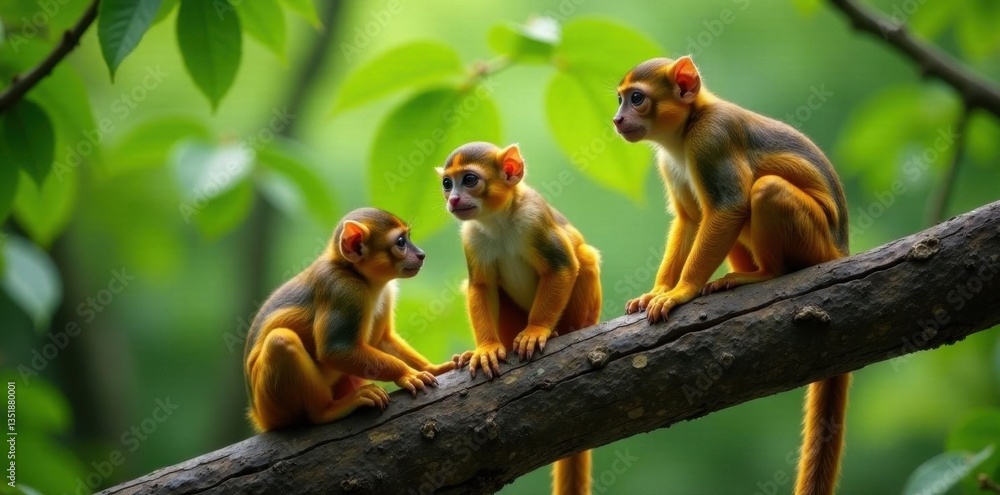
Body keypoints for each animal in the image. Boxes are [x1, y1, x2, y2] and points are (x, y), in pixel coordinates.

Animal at [243, 207, 456, 433]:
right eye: (400, 242)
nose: (421, 254)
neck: (357, 274)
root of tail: (259, 416)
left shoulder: (387, 292)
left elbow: (384, 340)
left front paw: (434, 369)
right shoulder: (345, 291)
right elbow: (335, 350)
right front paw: (406, 373)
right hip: (271, 405)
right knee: (280, 340)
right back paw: (327, 411)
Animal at [437, 142, 602, 495]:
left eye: (469, 180)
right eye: (447, 183)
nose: (453, 199)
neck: (498, 220)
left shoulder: (534, 219)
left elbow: (562, 267)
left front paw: (537, 331)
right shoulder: (471, 236)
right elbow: (481, 287)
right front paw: (485, 349)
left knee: (583, 257)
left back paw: (566, 331)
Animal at [613, 56, 851, 495]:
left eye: (636, 98)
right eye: (620, 99)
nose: (618, 118)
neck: (683, 133)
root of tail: (842, 247)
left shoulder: (711, 139)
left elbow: (729, 206)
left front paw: (681, 292)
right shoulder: (670, 162)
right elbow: (690, 219)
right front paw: (659, 289)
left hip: (816, 241)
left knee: (765, 189)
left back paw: (765, 274)